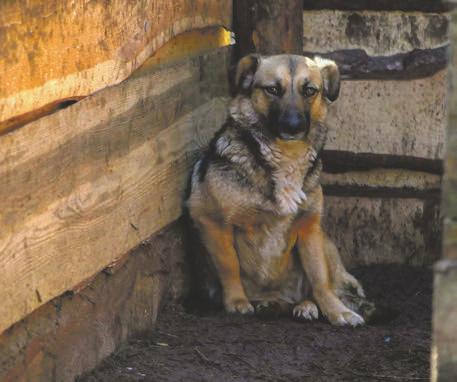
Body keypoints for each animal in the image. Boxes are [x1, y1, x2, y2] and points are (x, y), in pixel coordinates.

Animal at [185, 53, 374, 326]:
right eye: (273, 89)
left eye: (309, 90)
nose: (294, 126)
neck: (286, 156)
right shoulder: (211, 219)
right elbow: (229, 265)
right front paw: (236, 302)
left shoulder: (309, 226)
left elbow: (320, 280)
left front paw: (337, 311)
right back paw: (271, 304)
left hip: (324, 240)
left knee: (317, 286)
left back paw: (306, 306)